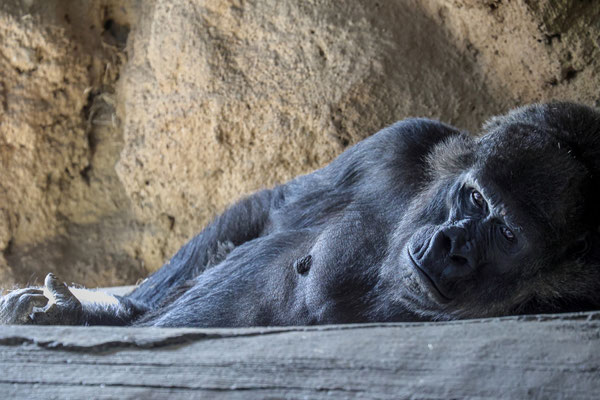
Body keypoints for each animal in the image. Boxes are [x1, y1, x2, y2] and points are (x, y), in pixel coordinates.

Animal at [1, 101, 600, 326]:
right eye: (474, 198)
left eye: (506, 233)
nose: (453, 245)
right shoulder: (402, 144)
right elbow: (273, 209)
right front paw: (97, 310)